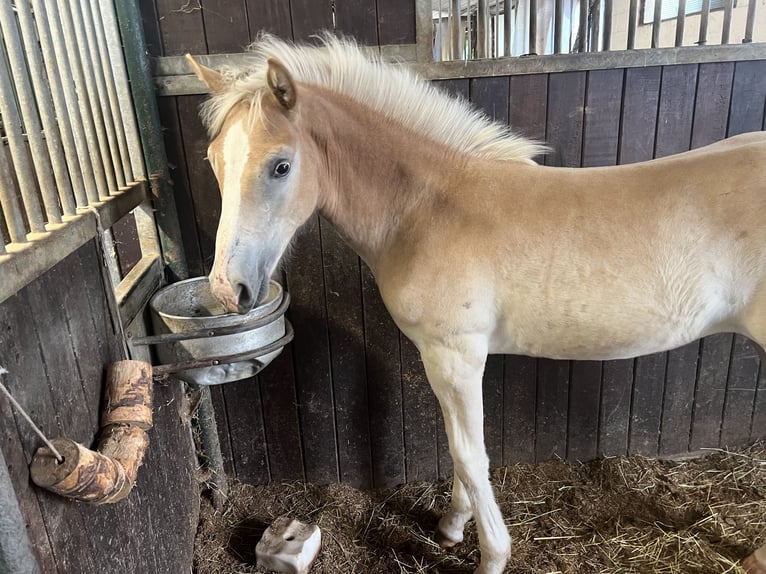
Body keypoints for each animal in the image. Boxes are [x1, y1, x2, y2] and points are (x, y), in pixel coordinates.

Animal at [186, 36, 766, 574]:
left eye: (281, 166)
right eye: (213, 161)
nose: (228, 291)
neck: (429, 209)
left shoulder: (453, 354)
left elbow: (468, 452)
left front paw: (491, 554)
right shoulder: (454, 357)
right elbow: (459, 445)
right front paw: (452, 525)